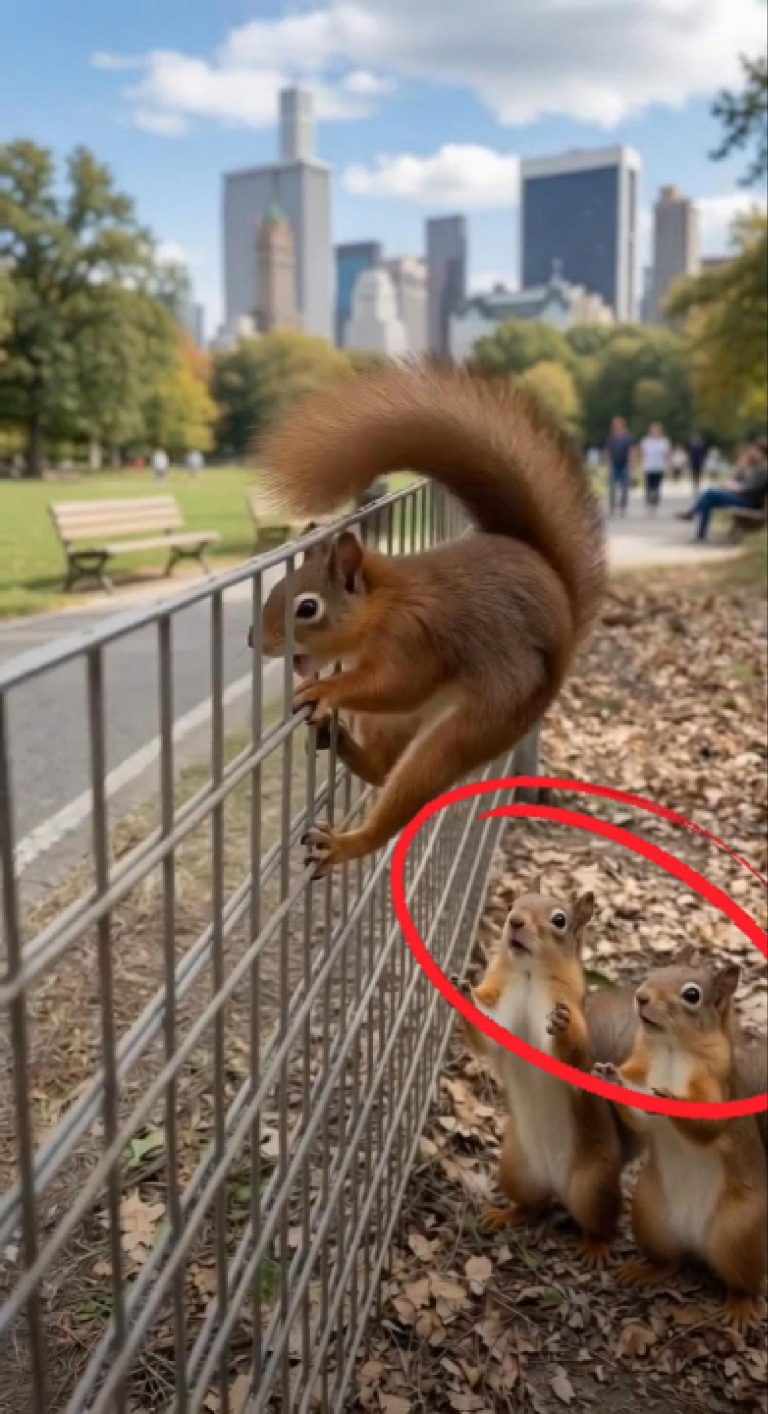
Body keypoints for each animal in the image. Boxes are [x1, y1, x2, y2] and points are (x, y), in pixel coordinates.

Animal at [254, 364, 604, 876]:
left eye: (307, 608)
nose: (254, 640)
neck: (385, 604)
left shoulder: (416, 637)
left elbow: (401, 681)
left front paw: (326, 690)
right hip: (393, 723)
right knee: (382, 766)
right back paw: (336, 737)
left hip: (478, 722)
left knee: (409, 782)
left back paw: (344, 844)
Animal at [464, 888, 624, 1266]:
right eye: (511, 905)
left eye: (559, 920)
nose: (515, 921)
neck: (528, 976)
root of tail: (555, 1182)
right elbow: (488, 1039)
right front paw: (464, 989)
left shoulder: (566, 1005)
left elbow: (573, 1055)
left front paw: (563, 1025)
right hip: (515, 1168)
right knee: (534, 1207)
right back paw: (505, 1214)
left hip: (592, 1186)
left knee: (602, 1221)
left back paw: (596, 1246)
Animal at [592, 951, 768, 1330]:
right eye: (654, 973)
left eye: (691, 995)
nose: (641, 997)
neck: (672, 1049)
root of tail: (696, 1245)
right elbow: (640, 1116)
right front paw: (610, 1075)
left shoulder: (718, 1085)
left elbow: (707, 1126)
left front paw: (671, 1098)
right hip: (651, 1215)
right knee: (669, 1262)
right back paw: (644, 1271)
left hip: (739, 1234)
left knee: (744, 1281)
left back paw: (740, 1306)